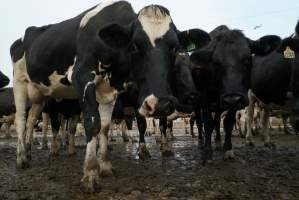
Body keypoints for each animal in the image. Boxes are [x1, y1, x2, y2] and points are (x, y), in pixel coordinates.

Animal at [11, 1, 211, 192]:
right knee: (21, 120)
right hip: (20, 83)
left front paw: (105, 166)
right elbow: (93, 122)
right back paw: (21, 159)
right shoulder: (82, 76)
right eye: (134, 45)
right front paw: (90, 174)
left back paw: (29, 151)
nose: (160, 105)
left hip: (39, 95)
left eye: (174, 48)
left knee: (31, 121)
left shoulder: (110, 90)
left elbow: (105, 127)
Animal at [190, 25, 282, 162]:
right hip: (199, 102)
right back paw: (201, 142)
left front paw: (228, 149)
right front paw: (207, 151)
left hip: (220, 104)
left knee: (217, 121)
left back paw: (218, 142)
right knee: (199, 122)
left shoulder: (236, 100)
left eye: (248, 59)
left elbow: (227, 123)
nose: (232, 98)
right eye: (215, 63)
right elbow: (207, 123)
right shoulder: (205, 96)